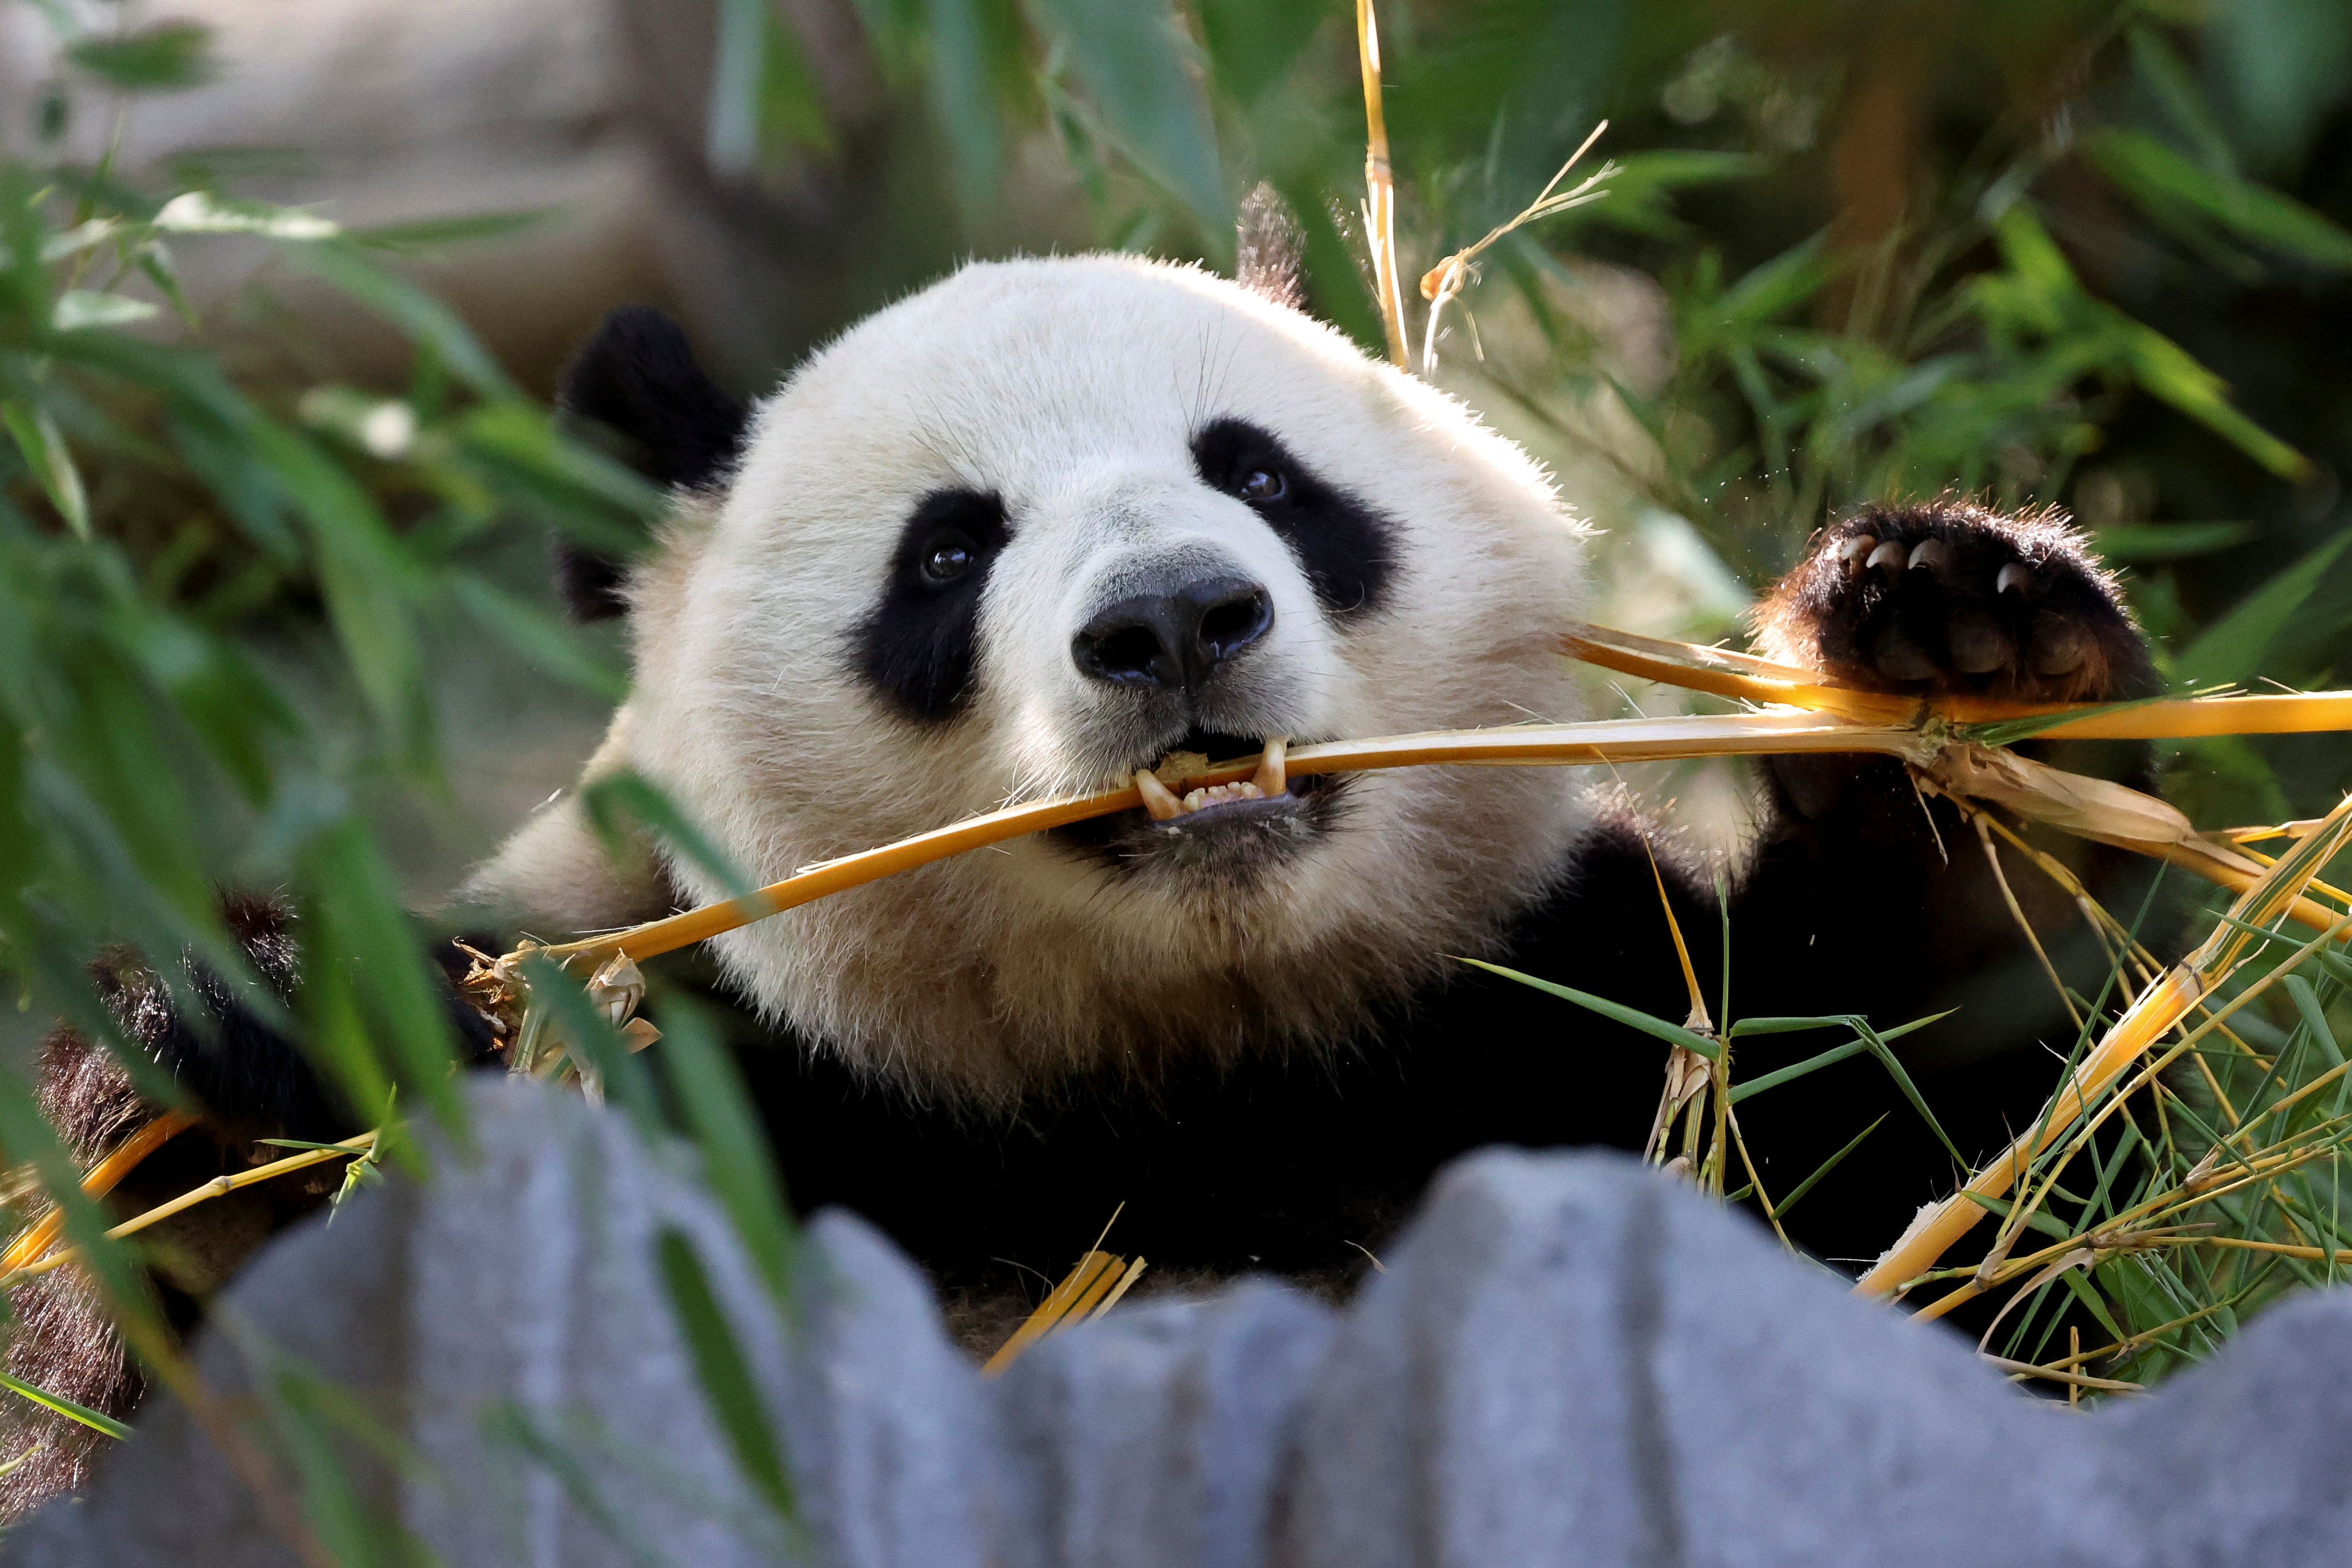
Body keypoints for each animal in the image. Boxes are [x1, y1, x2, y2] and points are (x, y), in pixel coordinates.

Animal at [4, 226, 2164, 1514]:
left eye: (1265, 472)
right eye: (949, 549)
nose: (1176, 621)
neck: (1172, 1062)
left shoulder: (1556, 1015)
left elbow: (1951, 1214)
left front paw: (1972, 674)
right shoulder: (703, 1044)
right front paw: (237, 1060)